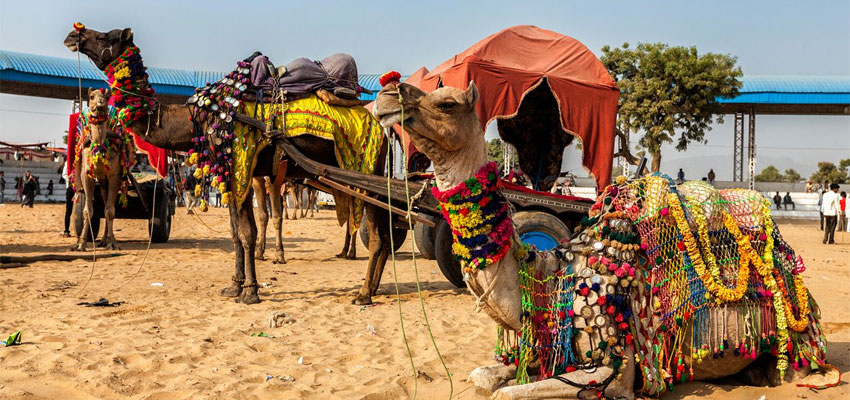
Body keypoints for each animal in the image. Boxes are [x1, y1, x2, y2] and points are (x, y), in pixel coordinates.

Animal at [72, 88, 122, 251]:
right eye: (91, 96)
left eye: (106, 96)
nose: (100, 105)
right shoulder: (86, 176)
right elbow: (88, 211)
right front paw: (81, 243)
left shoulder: (115, 176)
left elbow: (110, 211)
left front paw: (113, 242)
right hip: (101, 181)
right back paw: (102, 240)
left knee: (108, 205)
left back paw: (106, 240)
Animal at [373, 81, 831, 399]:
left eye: (446, 103)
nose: (387, 93)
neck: (550, 279)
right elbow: (484, 377)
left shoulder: (614, 369)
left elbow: (506, 393)